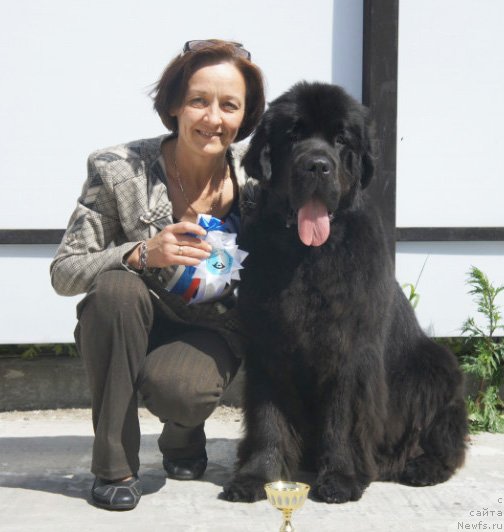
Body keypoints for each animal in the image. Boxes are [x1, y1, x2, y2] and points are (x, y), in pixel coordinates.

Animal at [222, 82, 466, 502]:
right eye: (294, 135)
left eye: (341, 140)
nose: (318, 165)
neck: (306, 255)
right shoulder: (267, 347)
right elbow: (268, 418)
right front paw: (256, 477)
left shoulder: (350, 349)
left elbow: (344, 416)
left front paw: (340, 477)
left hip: (435, 365)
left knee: (445, 436)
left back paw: (422, 466)